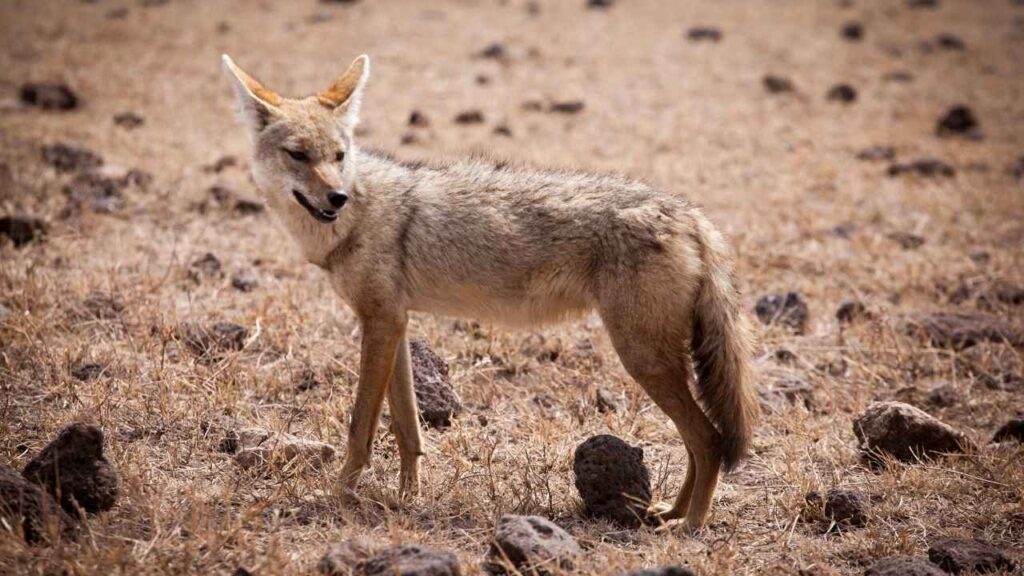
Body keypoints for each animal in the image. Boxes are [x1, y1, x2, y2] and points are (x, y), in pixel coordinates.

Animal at [220, 53, 757, 528]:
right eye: (298, 155)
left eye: (338, 156)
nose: (337, 197)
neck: (358, 216)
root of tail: (689, 214)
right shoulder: (394, 324)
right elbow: (407, 427)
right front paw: (408, 496)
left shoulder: (380, 324)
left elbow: (360, 426)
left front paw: (337, 493)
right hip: (655, 361)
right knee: (698, 441)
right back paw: (670, 511)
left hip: (642, 358)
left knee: (708, 439)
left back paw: (691, 525)